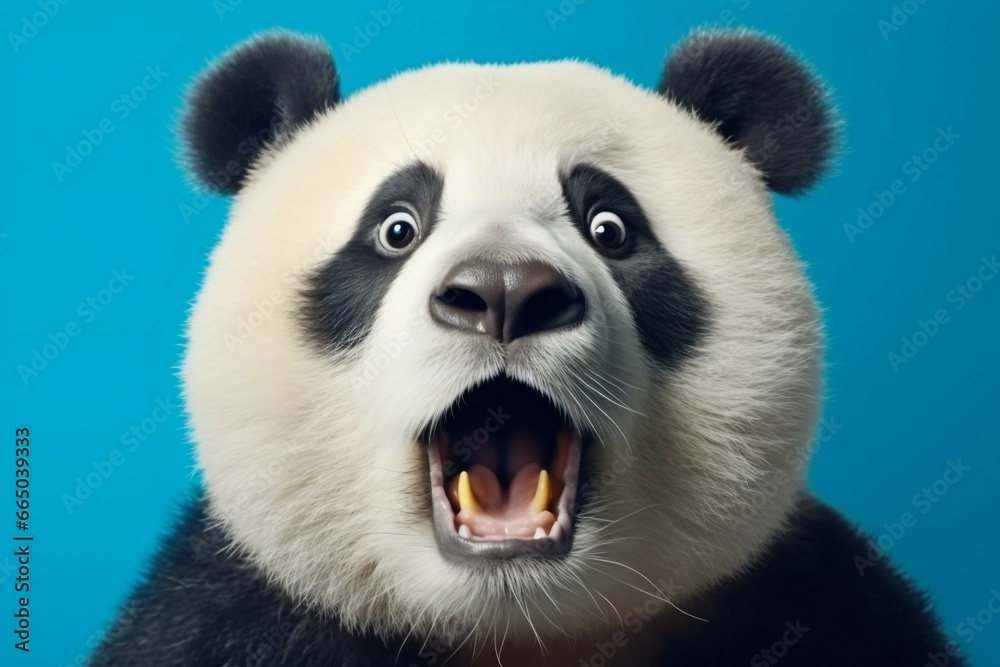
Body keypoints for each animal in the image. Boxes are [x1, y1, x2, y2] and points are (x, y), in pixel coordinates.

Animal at [92, 28, 967, 667]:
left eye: (611, 226)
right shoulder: (223, 619)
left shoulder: (815, 602)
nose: (505, 291)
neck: (517, 630)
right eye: (396, 227)